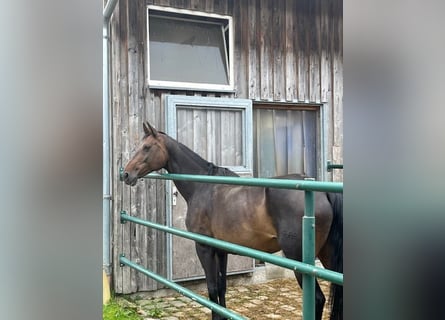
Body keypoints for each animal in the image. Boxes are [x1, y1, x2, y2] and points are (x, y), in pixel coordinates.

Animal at [123, 122, 342, 320]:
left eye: (146, 147)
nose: (125, 174)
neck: (203, 187)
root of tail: (323, 193)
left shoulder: (204, 247)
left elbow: (212, 289)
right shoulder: (222, 250)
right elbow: (221, 288)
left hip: (299, 259)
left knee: (318, 299)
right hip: (327, 256)